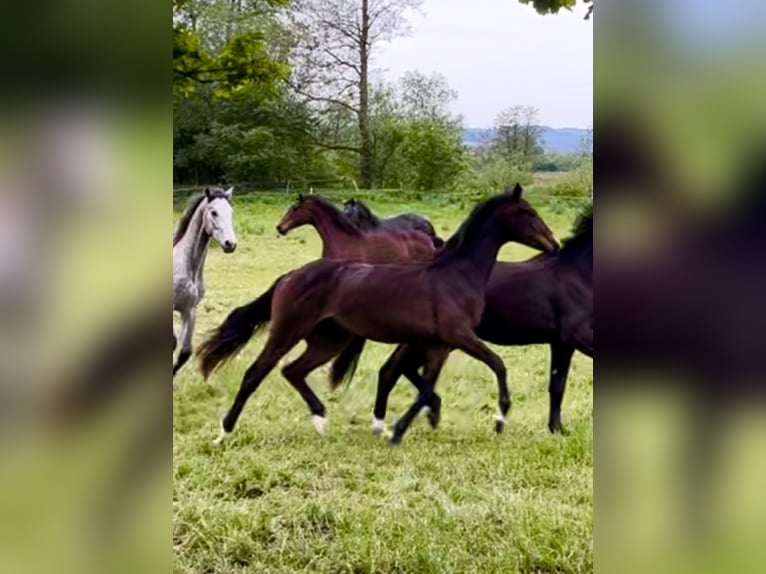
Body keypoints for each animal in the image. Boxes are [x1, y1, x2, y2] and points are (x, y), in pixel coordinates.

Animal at [334, 206, 592, 436]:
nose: (554, 243)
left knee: (395, 369)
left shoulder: (562, 341)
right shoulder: (570, 338)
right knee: (397, 369)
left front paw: (555, 428)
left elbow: (557, 384)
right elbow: (558, 385)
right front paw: (557, 429)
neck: (576, 274)